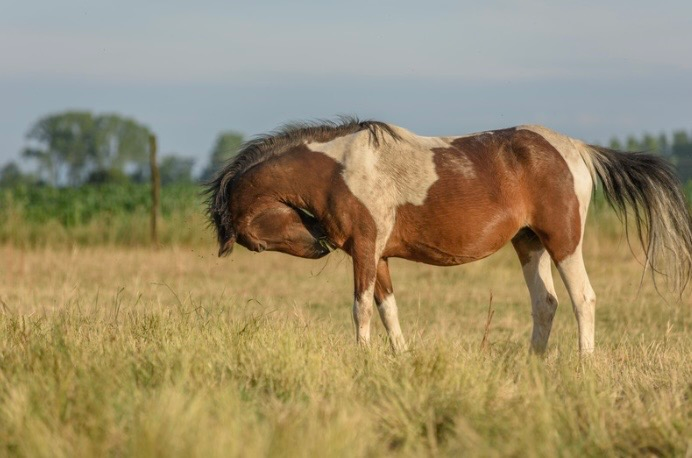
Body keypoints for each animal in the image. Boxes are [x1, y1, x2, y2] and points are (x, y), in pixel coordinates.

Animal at [206, 117, 692, 355]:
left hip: (563, 241)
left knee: (583, 300)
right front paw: (400, 360)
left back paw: (584, 365)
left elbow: (361, 310)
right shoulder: (378, 256)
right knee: (546, 304)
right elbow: (388, 310)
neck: (339, 168)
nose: (320, 241)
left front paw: (361, 359)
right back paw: (533, 366)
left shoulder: (364, 249)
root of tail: (578, 149)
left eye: (254, 238)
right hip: (528, 243)